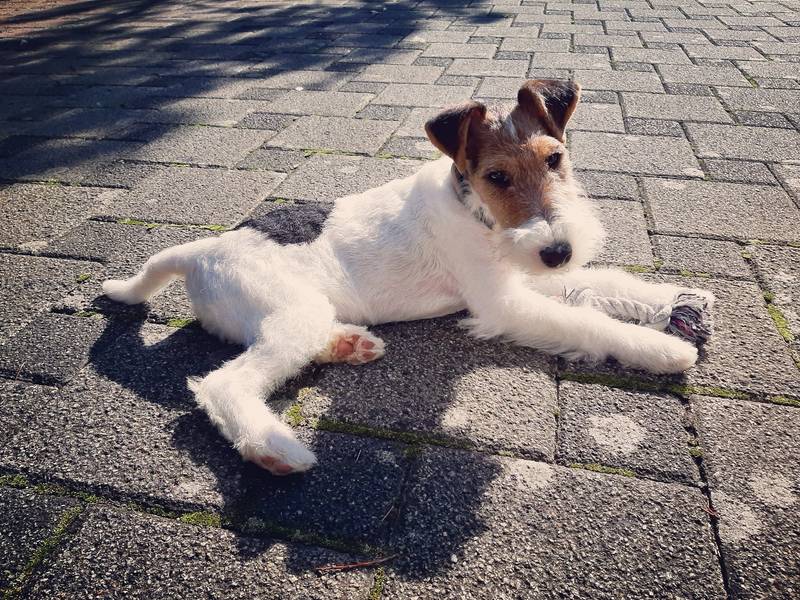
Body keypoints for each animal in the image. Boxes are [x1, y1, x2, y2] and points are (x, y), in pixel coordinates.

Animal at [103, 79, 712, 475]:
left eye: (554, 158)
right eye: (497, 176)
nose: (559, 250)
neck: (475, 212)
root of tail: (200, 249)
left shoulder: (526, 278)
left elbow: (606, 284)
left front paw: (679, 301)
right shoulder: (503, 304)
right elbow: (590, 323)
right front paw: (664, 349)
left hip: (294, 317)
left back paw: (349, 345)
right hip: (289, 313)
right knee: (223, 384)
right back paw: (276, 450)